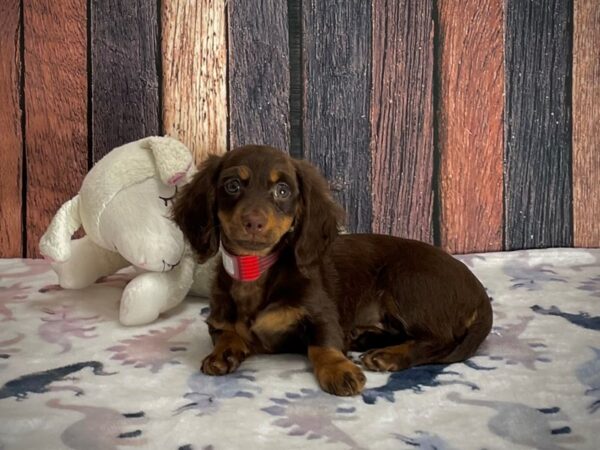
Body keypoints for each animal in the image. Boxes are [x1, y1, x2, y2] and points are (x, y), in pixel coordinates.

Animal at [172, 146, 492, 396]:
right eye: (232, 186)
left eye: (282, 190)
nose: (253, 222)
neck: (256, 270)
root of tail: (479, 291)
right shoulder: (218, 321)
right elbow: (228, 333)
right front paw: (221, 354)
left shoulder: (322, 313)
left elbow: (322, 344)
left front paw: (339, 370)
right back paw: (365, 338)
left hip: (407, 283)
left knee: (439, 341)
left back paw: (388, 355)